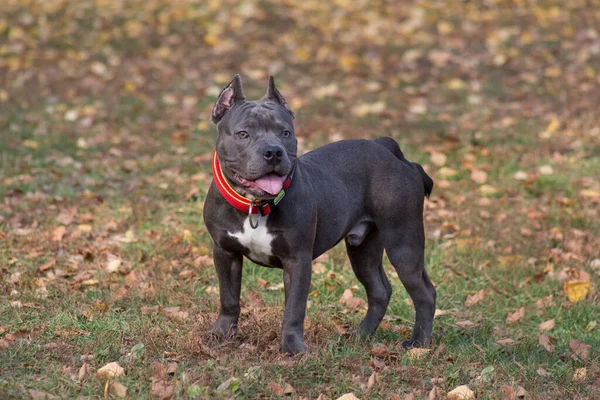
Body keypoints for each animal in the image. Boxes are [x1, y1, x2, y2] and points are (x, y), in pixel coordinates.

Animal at [203, 75, 436, 354]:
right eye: (242, 134)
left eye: (286, 133)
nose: (273, 151)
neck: (254, 206)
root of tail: (389, 149)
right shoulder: (225, 252)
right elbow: (228, 297)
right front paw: (221, 333)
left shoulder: (298, 261)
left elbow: (294, 309)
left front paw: (292, 349)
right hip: (364, 249)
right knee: (380, 290)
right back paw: (360, 335)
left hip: (403, 243)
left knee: (424, 293)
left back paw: (418, 343)